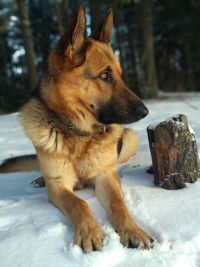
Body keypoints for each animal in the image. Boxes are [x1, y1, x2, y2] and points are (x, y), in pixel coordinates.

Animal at [0, 6, 153, 253]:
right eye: (104, 76)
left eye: (120, 76)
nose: (145, 112)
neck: (78, 133)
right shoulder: (59, 186)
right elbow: (78, 203)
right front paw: (89, 232)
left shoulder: (104, 176)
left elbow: (118, 203)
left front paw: (133, 230)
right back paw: (41, 179)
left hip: (130, 139)